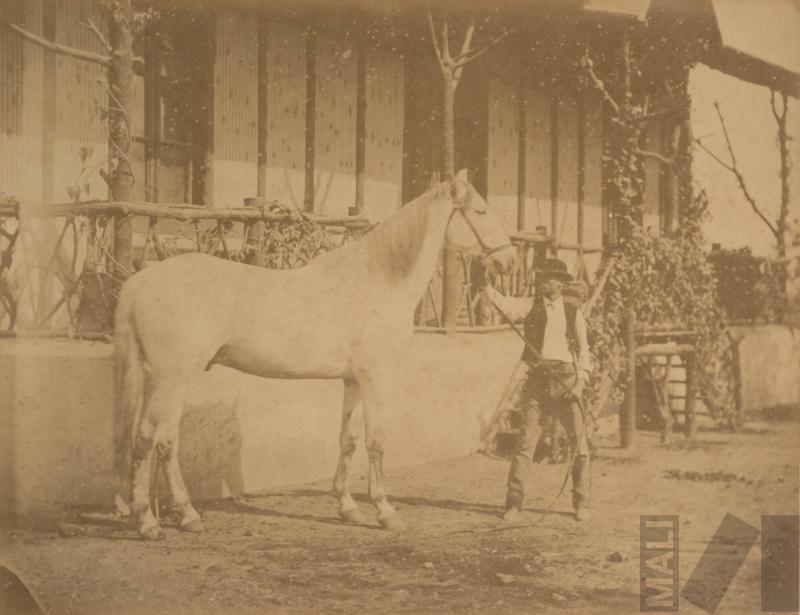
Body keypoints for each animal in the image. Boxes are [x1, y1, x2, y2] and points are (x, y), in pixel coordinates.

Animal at [113, 170, 516, 540]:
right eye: (480, 211)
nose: (507, 262)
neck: (380, 278)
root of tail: (140, 281)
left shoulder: (354, 381)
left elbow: (348, 440)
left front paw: (347, 507)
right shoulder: (376, 378)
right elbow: (376, 442)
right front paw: (386, 512)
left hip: (167, 380)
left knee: (165, 441)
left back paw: (185, 515)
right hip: (170, 378)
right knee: (147, 439)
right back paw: (148, 522)